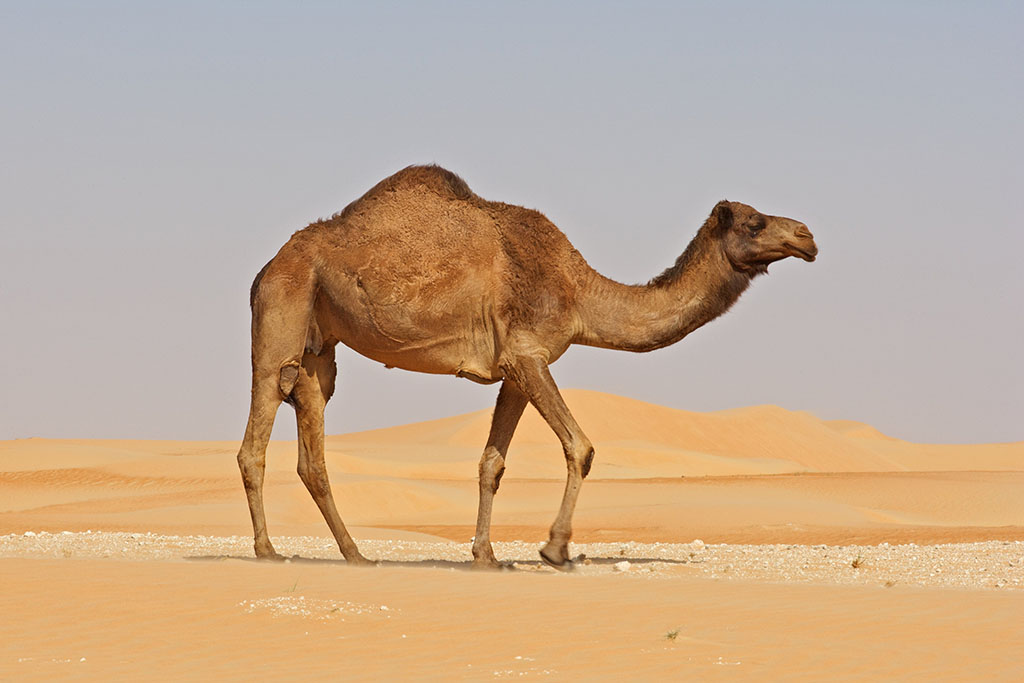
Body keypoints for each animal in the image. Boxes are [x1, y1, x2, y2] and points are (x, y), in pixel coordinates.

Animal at [237, 164, 817, 570]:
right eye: (755, 222)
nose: (807, 236)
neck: (578, 291)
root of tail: (266, 267)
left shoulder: (514, 371)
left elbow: (491, 464)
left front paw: (486, 556)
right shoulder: (529, 355)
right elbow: (580, 446)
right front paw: (555, 550)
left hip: (319, 344)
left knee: (312, 441)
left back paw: (356, 554)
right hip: (283, 307)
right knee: (257, 429)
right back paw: (268, 551)